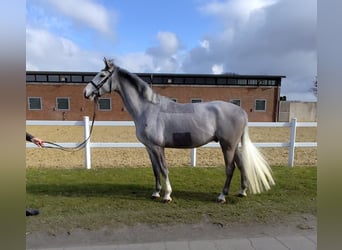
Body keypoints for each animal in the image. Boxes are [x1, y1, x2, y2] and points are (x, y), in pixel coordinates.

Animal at [83, 58, 276, 203]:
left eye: (102, 75)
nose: (86, 93)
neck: (148, 108)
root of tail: (241, 111)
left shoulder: (158, 147)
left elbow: (164, 169)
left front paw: (167, 195)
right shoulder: (149, 148)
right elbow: (155, 170)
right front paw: (156, 193)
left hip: (227, 146)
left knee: (230, 168)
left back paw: (222, 196)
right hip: (233, 146)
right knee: (242, 164)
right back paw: (242, 191)